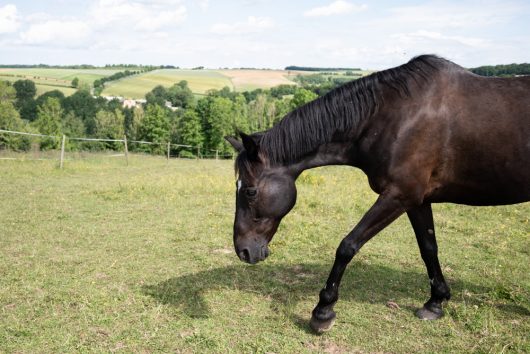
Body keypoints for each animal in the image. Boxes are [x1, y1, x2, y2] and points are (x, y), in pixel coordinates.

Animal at [224, 55, 528, 332]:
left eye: (250, 190)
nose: (243, 250)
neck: (396, 116)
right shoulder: (417, 201)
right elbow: (428, 248)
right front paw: (435, 303)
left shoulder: (398, 195)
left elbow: (347, 246)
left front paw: (323, 310)